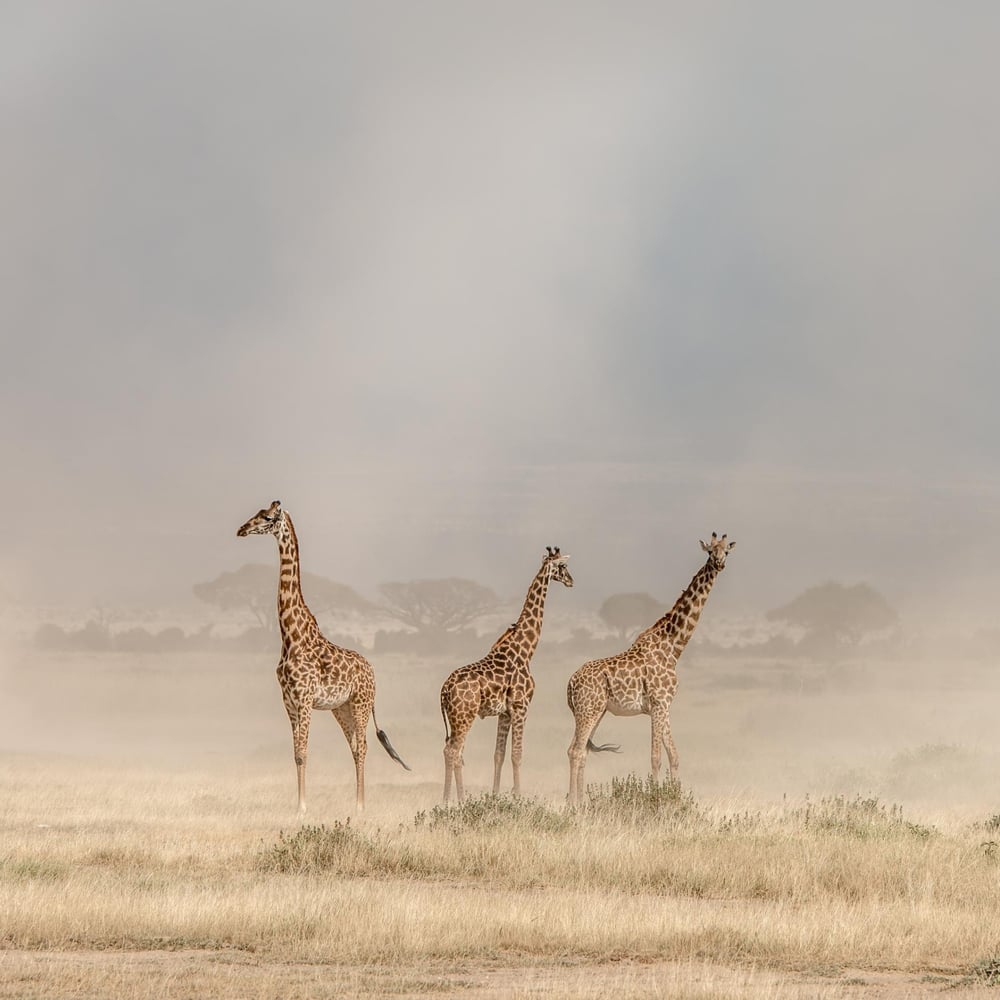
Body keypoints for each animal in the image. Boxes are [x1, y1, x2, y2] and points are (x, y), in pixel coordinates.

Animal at [237, 500, 409, 813]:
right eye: (255, 514)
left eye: (266, 518)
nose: (241, 529)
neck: (291, 636)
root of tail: (372, 671)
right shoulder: (289, 701)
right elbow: (296, 753)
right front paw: (299, 807)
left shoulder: (304, 699)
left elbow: (304, 752)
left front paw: (302, 809)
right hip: (341, 708)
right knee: (354, 747)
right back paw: (355, 804)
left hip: (361, 703)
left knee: (363, 746)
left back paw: (360, 807)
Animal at [440, 546, 574, 803]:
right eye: (562, 566)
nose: (571, 581)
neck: (525, 649)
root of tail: (444, 690)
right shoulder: (522, 706)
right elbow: (517, 754)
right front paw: (518, 797)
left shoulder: (504, 712)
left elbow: (499, 754)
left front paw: (494, 796)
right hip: (464, 716)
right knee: (453, 751)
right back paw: (452, 801)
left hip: (455, 718)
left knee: (454, 751)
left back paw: (455, 799)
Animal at [566, 532, 735, 806]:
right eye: (710, 552)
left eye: (726, 552)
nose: (719, 564)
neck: (673, 647)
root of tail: (570, 684)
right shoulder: (659, 702)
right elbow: (656, 757)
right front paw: (656, 798)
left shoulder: (663, 706)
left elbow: (674, 756)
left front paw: (675, 798)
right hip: (587, 711)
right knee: (575, 751)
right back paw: (573, 804)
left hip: (595, 711)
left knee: (581, 753)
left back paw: (582, 803)